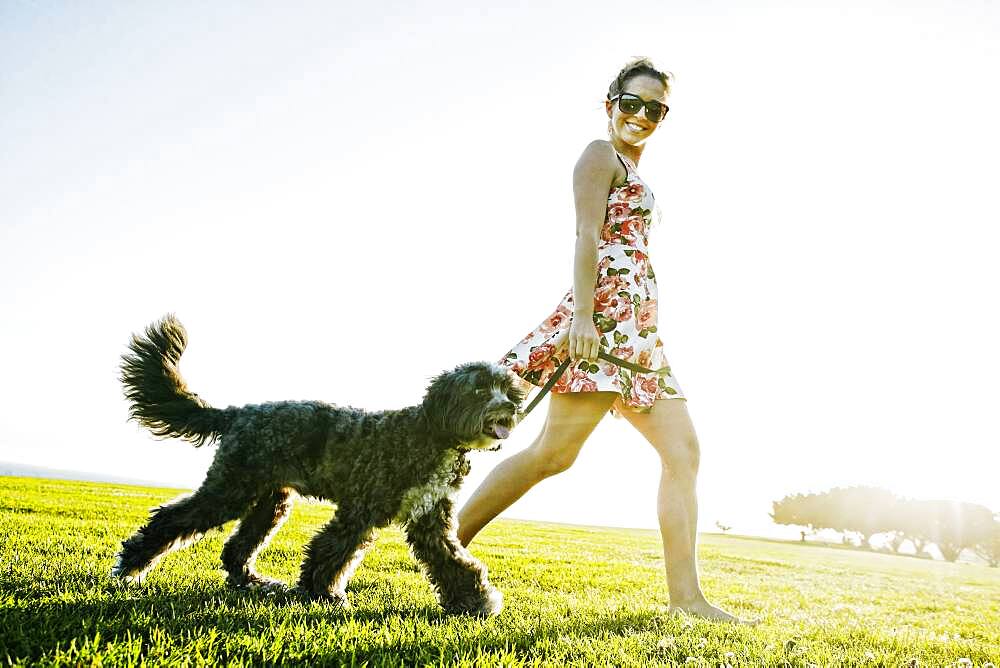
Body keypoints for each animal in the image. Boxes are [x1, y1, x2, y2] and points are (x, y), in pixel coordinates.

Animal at [113, 316, 524, 620]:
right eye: (479, 390)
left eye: (506, 389)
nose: (511, 408)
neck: (432, 433)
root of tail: (239, 413)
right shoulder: (360, 509)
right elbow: (333, 550)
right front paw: (322, 592)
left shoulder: (430, 519)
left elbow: (452, 560)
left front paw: (474, 601)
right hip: (231, 489)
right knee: (172, 519)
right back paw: (130, 567)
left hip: (270, 501)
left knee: (236, 548)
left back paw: (254, 583)